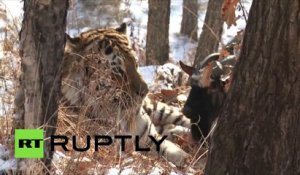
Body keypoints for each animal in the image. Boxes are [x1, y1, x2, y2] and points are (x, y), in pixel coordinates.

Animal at [60, 23, 190, 167]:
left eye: (136, 63)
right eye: (118, 70)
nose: (145, 91)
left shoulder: (148, 135)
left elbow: (169, 148)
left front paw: (185, 158)